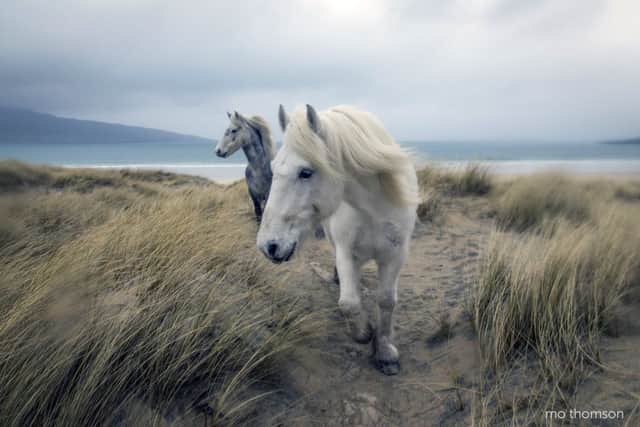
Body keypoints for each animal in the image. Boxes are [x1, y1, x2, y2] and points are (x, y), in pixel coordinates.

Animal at [257, 104, 418, 375]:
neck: (375, 209)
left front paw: (386, 352)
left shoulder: (396, 255)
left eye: (306, 172)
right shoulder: (346, 252)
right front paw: (364, 332)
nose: (268, 246)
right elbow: (350, 303)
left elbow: (386, 301)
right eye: (274, 167)